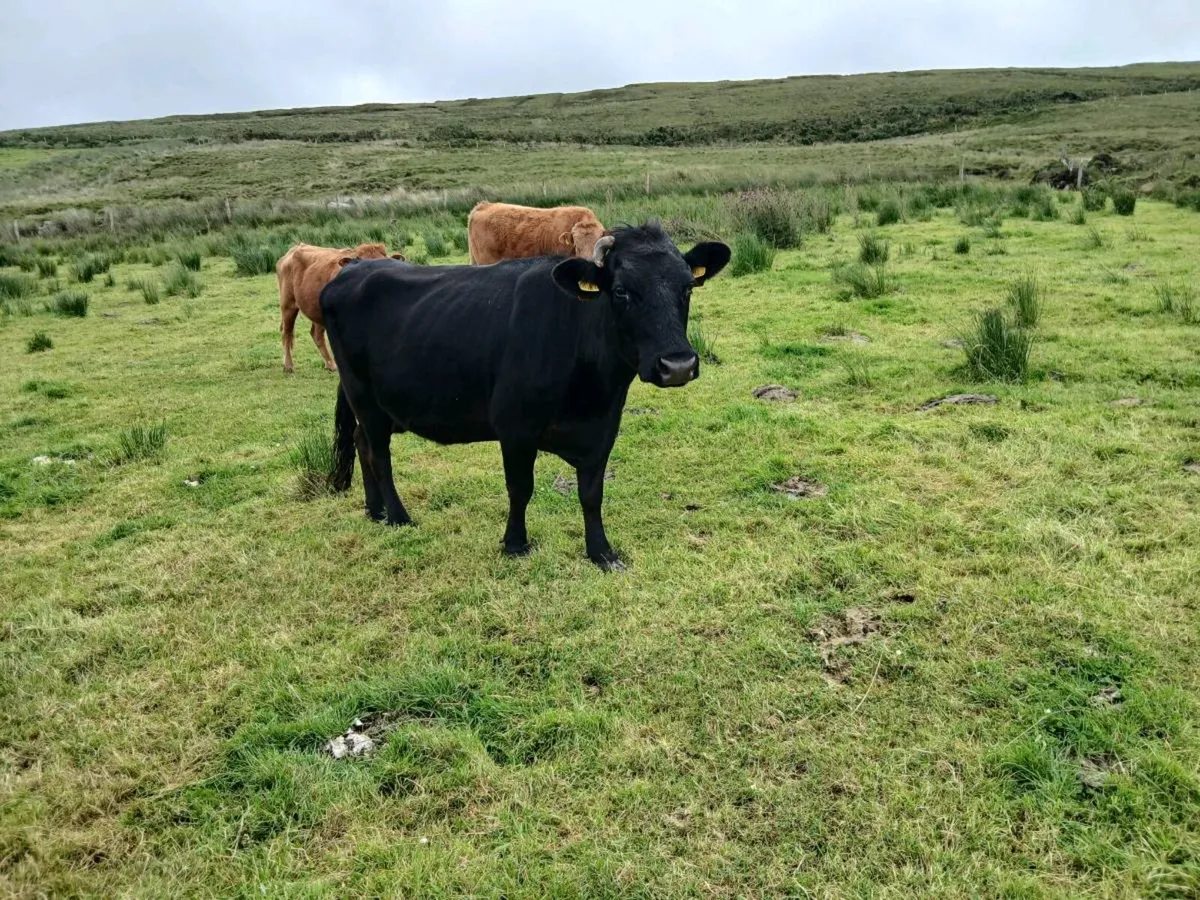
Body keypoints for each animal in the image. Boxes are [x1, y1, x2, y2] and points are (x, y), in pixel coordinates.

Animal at [276, 242, 404, 373]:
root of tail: (295, 248)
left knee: (316, 334)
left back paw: (330, 364)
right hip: (288, 304)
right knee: (287, 332)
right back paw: (288, 366)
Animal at [321, 222, 730, 570]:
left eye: (687, 288)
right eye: (621, 291)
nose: (677, 365)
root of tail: (351, 269)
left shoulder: (603, 431)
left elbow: (592, 494)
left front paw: (601, 552)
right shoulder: (515, 428)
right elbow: (520, 489)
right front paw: (516, 543)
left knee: (360, 442)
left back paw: (374, 510)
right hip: (366, 399)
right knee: (379, 454)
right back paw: (398, 516)